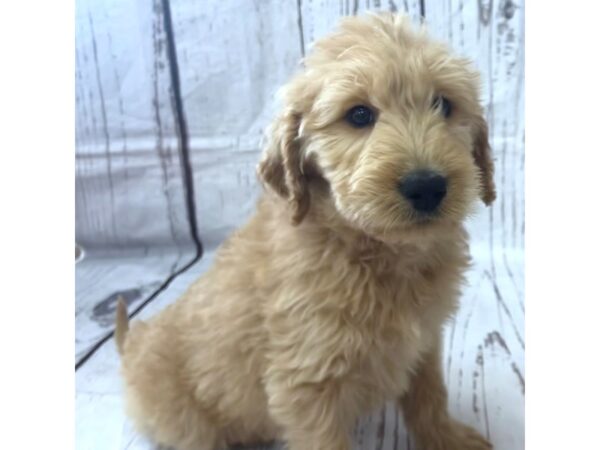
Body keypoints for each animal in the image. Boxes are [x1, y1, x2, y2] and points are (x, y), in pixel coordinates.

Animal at [117, 12, 496, 448]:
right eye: (359, 115)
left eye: (443, 104)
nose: (427, 186)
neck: (373, 249)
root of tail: (131, 345)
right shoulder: (307, 384)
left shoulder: (425, 343)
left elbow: (430, 395)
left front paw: (448, 437)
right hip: (181, 417)